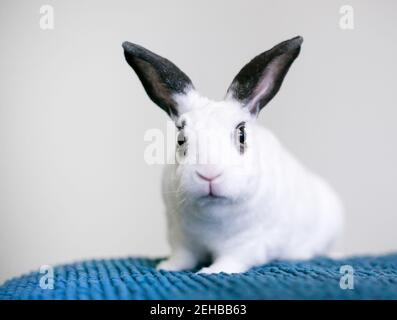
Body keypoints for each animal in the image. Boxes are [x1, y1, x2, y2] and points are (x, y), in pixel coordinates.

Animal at [122, 36, 342, 274]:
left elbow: (230, 261)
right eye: (181, 138)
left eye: (242, 134)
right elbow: (183, 257)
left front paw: (211, 271)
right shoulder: (180, 238)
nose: (209, 174)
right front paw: (167, 268)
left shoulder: (248, 244)